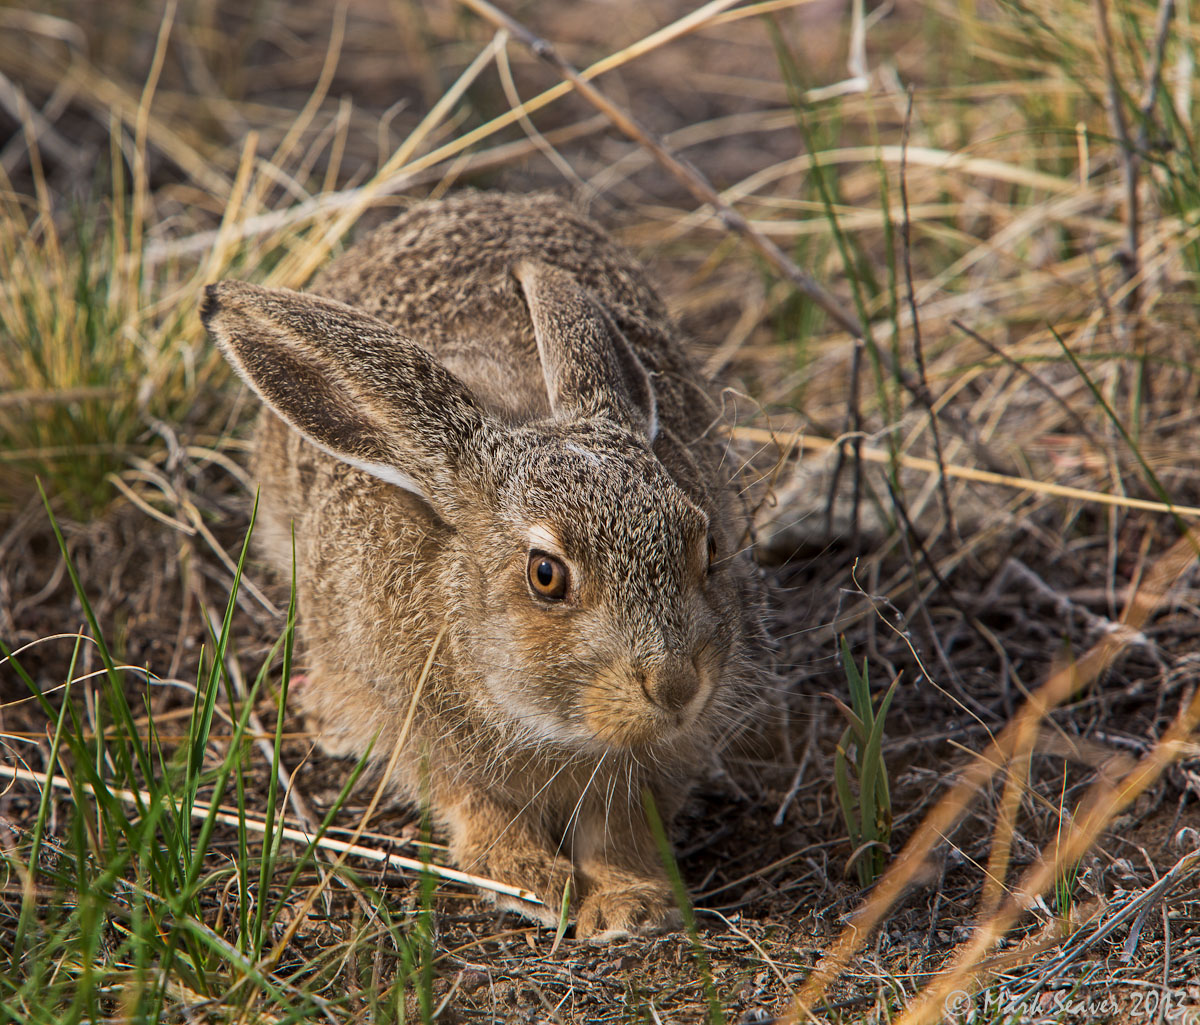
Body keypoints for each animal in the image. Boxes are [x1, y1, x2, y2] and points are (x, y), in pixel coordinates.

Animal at [201, 191, 768, 941]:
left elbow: (621, 821)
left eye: (704, 546)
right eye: (546, 576)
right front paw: (530, 879)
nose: (677, 687)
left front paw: (631, 902)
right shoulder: (423, 733)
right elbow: (476, 806)